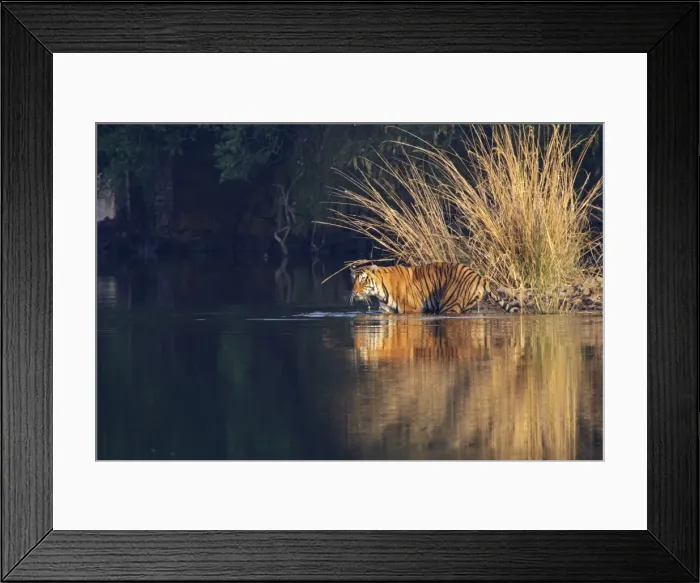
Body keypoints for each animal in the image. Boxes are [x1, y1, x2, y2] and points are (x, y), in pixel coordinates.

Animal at [350, 262, 520, 314]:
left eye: (363, 280)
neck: (380, 291)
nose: (354, 292)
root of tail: (479, 277)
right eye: (354, 281)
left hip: (449, 304)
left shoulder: (412, 310)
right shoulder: (387, 312)